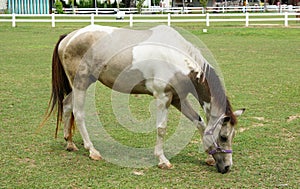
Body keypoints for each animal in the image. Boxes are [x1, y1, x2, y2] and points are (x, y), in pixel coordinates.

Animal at [41, 25, 244, 174]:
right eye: (224, 136)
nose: (227, 167)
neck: (177, 57)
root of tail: (69, 37)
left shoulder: (178, 99)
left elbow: (200, 122)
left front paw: (208, 157)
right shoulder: (163, 97)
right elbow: (161, 129)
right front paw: (162, 160)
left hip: (79, 86)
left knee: (67, 106)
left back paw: (69, 143)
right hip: (81, 84)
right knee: (78, 113)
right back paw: (92, 151)